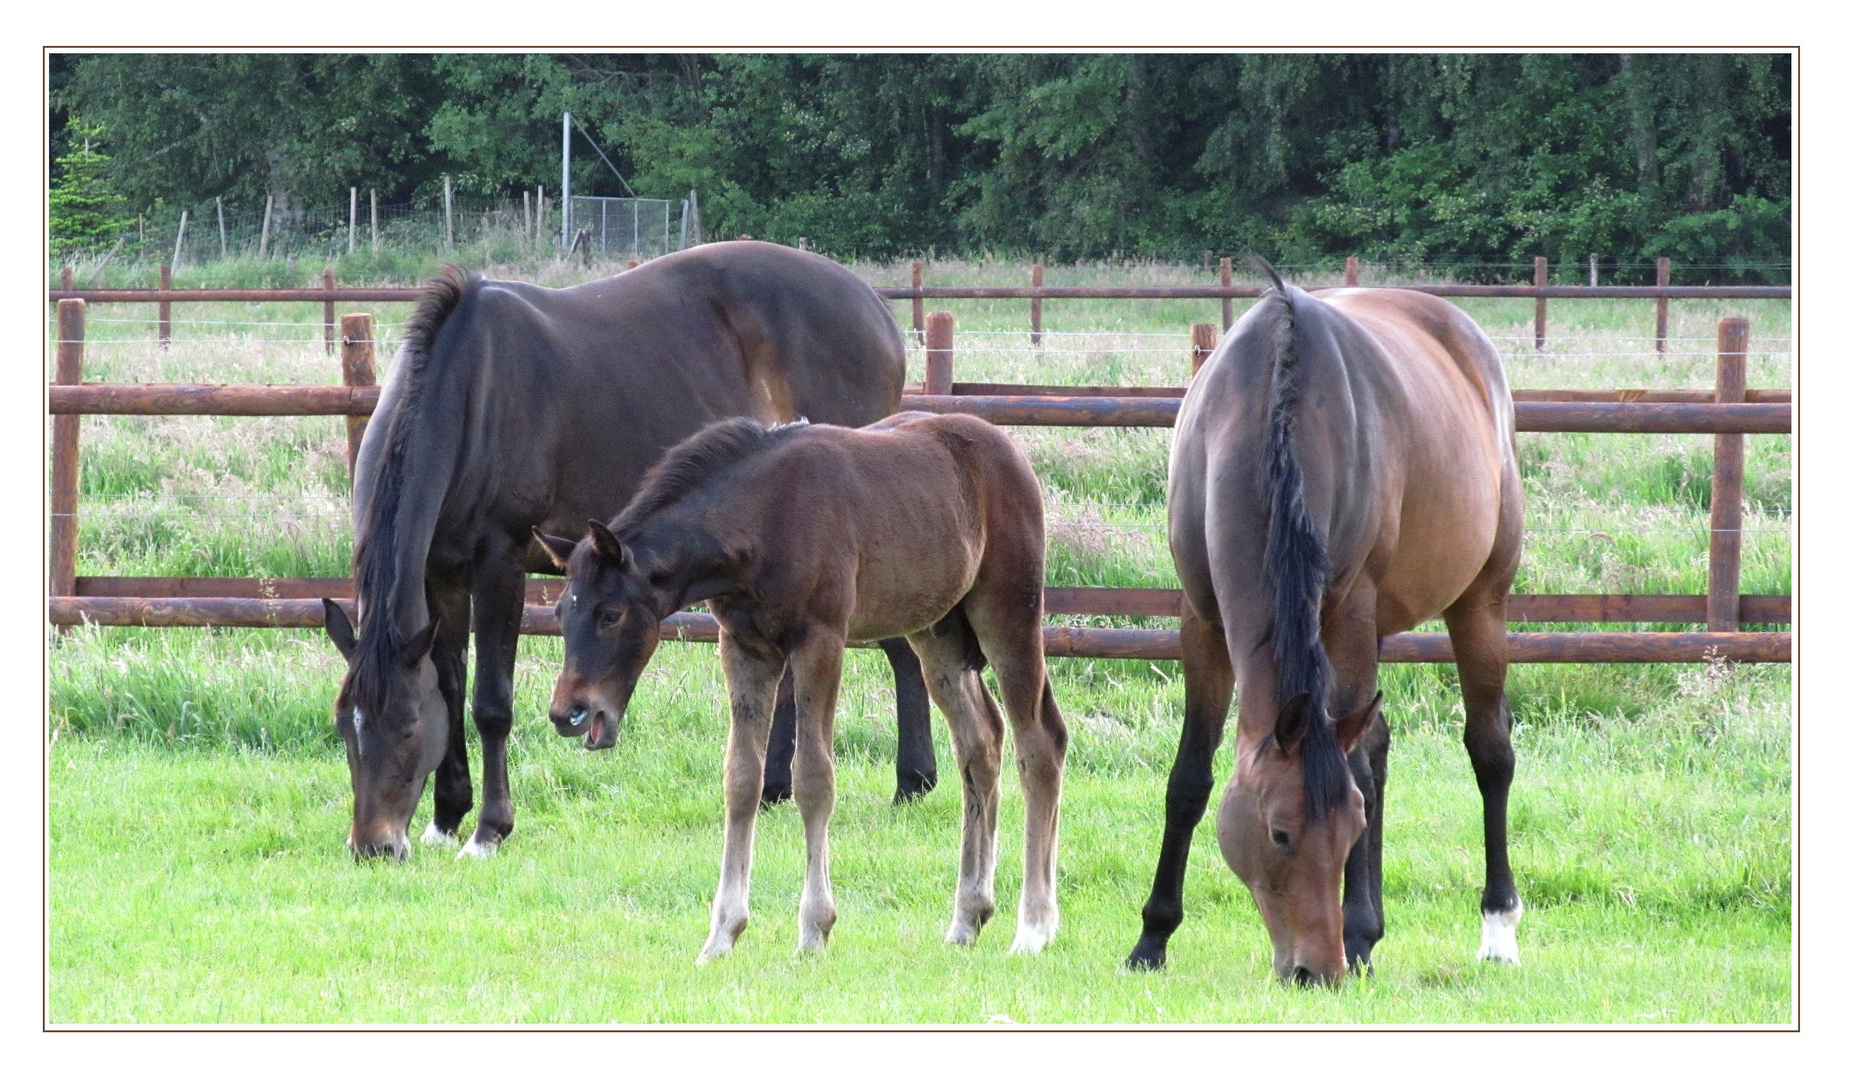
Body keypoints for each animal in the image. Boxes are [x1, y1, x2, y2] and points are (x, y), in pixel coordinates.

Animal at [314, 242, 939, 861]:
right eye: (345, 726)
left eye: (408, 726)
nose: (373, 846)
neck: (469, 390)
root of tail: (875, 307)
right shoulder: (442, 571)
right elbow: (450, 682)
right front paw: (446, 817)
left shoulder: (500, 563)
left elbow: (490, 702)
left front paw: (489, 829)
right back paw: (775, 788)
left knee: (900, 646)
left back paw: (912, 782)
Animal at [536, 414, 1072, 961]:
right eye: (560, 612)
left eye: (610, 614)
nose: (568, 712)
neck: (763, 519)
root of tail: (1009, 451)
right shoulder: (743, 647)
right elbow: (741, 777)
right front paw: (722, 934)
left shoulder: (821, 641)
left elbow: (813, 776)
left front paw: (814, 929)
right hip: (938, 631)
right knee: (980, 743)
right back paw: (968, 917)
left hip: (1007, 612)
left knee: (1039, 742)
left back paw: (1034, 927)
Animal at [1124, 257, 1530, 983]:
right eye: (1279, 833)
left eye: (1349, 831)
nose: (1316, 970)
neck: (1269, 407)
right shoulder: (1202, 619)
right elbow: (1190, 776)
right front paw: (1152, 937)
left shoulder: (1348, 613)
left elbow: (1361, 773)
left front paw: (1360, 931)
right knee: (1375, 742)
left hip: (1479, 603)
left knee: (1489, 752)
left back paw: (1493, 930)